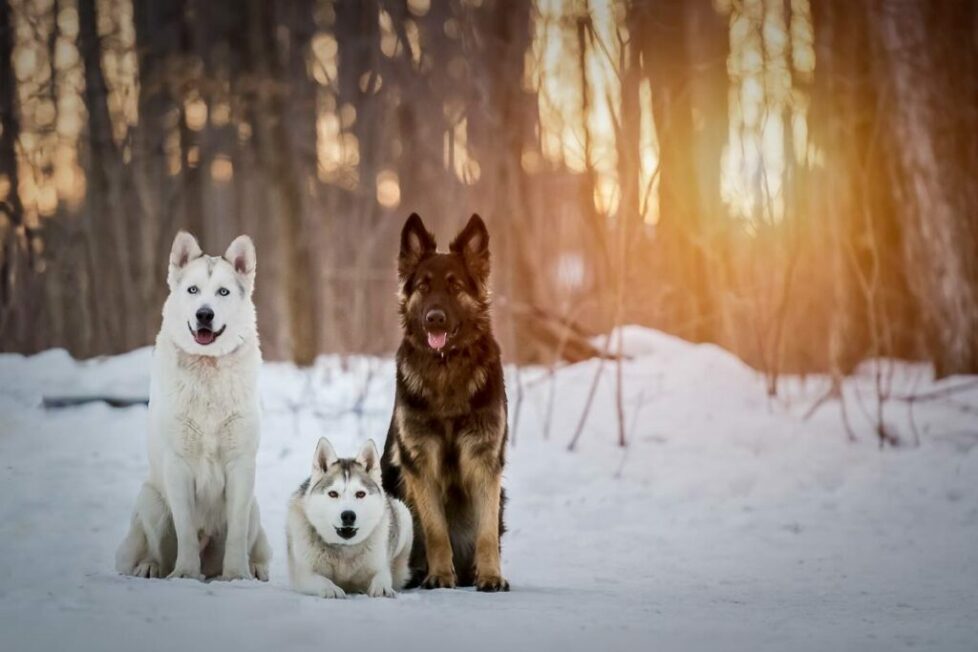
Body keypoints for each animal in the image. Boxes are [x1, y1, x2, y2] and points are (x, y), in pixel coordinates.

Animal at [117, 230, 270, 580]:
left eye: (223, 292)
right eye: (193, 290)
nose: (204, 314)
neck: (208, 367)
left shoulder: (241, 465)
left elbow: (237, 531)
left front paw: (237, 575)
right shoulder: (178, 465)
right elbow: (185, 529)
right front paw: (186, 573)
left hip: (255, 505)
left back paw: (254, 568)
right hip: (151, 502)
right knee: (155, 553)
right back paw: (149, 568)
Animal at [288, 436, 414, 600]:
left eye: (360, 494)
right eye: (333, 494)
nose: (348, 515)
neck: (344, 550)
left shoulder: (379, 565)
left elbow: (383, 576)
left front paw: (382, 588)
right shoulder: (303, 574)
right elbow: (321, 580)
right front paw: (330, 588)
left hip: (403, 516)